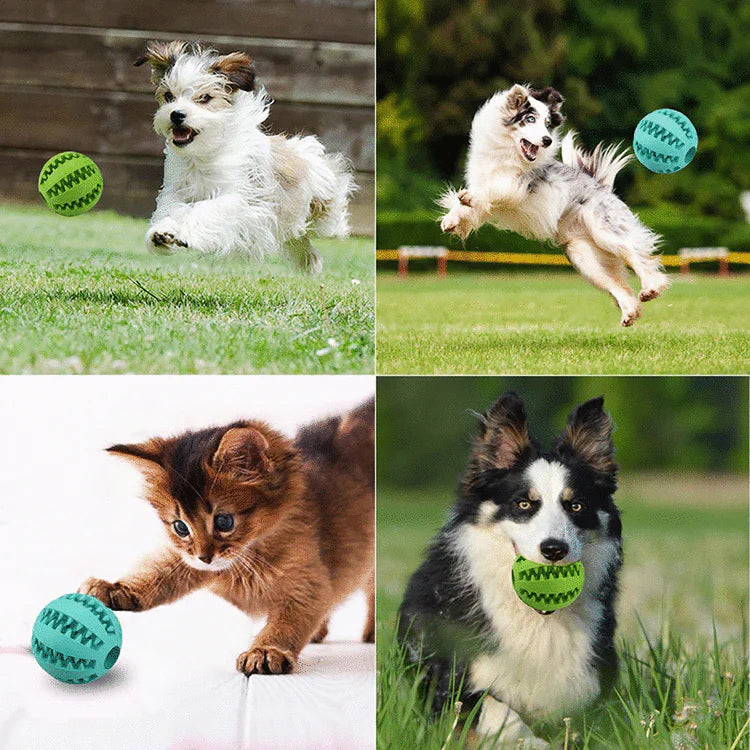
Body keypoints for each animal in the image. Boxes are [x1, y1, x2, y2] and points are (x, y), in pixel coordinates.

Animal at [79, 400, 376, 676]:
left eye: (224, 521)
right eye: (180, 527)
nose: (205, 557)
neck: (248, 559)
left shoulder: (308, 582)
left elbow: (288, 622)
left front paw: (265, 651)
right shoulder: (186, 559)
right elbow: (157, 571)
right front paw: (115, 588)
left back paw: (371, 632)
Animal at [136, 41, 358, 274]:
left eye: (205, 98)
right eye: (169, 96)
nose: (176, 114)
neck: (203, 154)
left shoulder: (236, 197)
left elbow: (205, 209)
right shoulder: (176, 192)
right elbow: (171, 210)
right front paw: (162, 233)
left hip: (320, 205)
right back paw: (308, 261)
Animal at [440, 85, 668, 326]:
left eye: (548, 124)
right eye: (530, 119)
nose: (547, 140)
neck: (507, 152)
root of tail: (601, 186)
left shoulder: (518, 185)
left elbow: (492, 188)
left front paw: (469, 198)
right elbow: (469, 206)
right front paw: (452, 219)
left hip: (606, 232)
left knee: (636, 255)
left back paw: (651, 287)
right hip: (584, 257)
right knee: (616, 284)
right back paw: (629, 312)